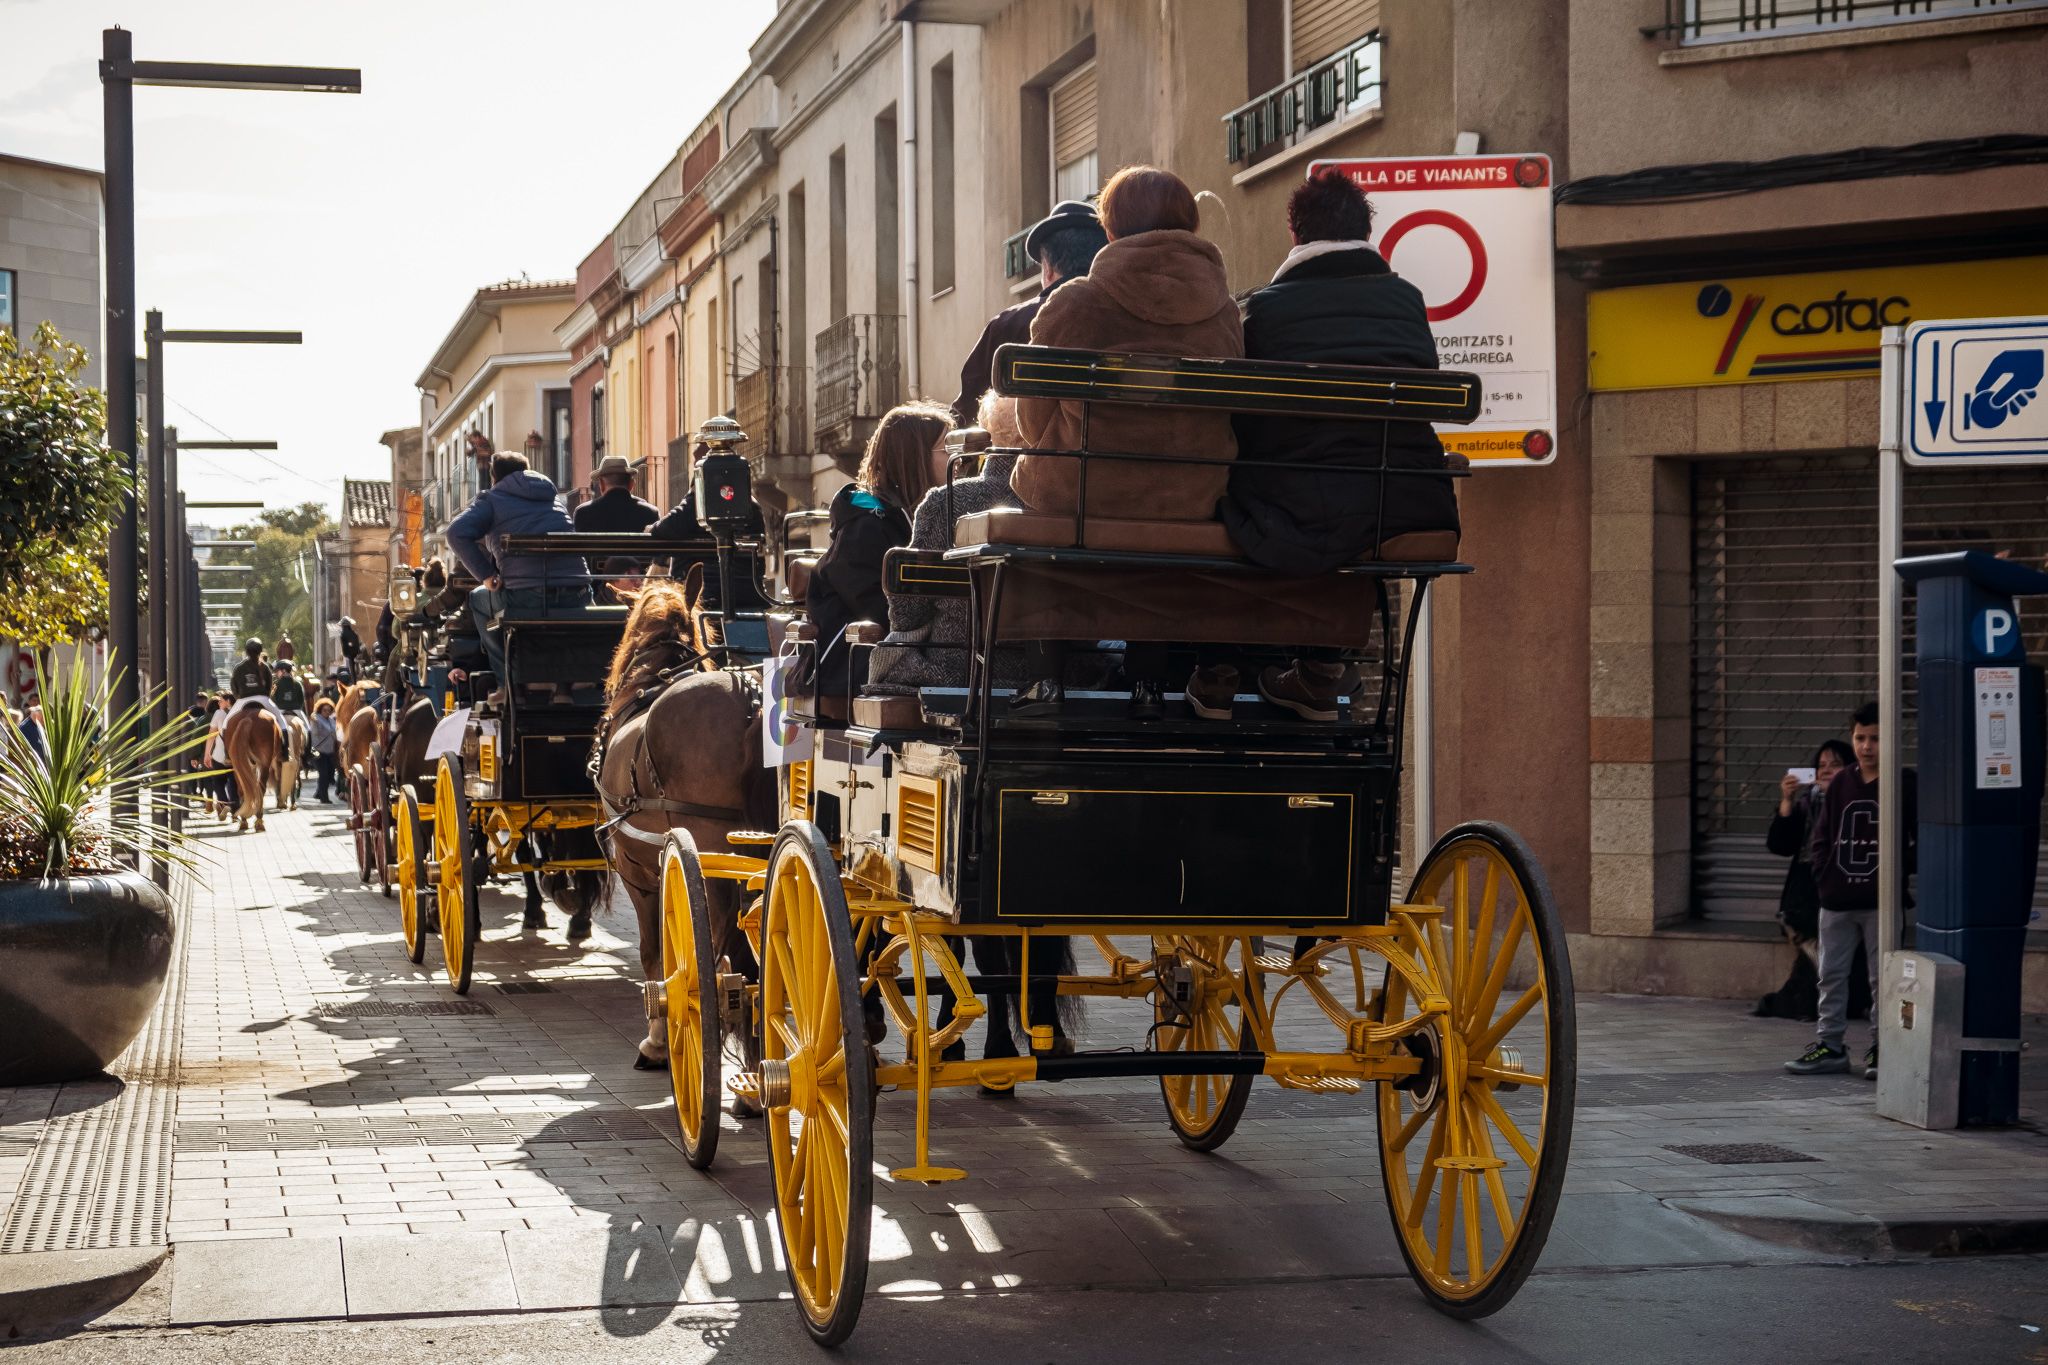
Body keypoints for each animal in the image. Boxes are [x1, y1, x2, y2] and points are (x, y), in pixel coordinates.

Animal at [225, 703, 282, 834]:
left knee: (242, 790)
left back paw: (244, 820)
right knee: (260, 789)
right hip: (264, 764)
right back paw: (259, 821)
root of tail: (248, 718)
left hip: (237, 766)